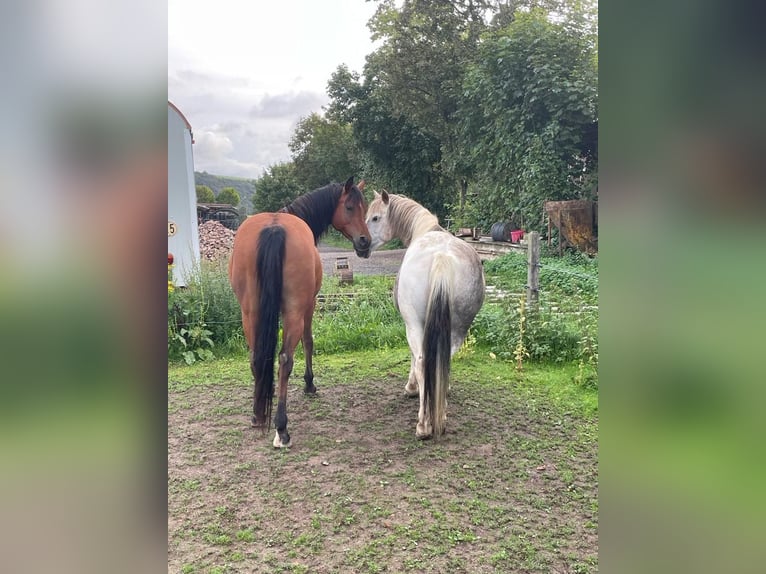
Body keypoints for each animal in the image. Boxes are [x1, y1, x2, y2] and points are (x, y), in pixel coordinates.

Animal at [230, 178, 370, 448]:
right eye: (349, 207)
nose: (365, 242)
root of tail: (275, 229)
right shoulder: (310, 305)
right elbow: (308, 341)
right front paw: (309, 383)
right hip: (294, 312)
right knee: (285, 359)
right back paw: (281, 428)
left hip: (249, 312)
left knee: (256, 356)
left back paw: (257, 414)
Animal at [368, 194, 486, 440]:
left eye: (375, 217)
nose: (360, 244)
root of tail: (441, 257)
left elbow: (414, 359)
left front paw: (411, 389)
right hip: (458, 329)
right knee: (443, 360)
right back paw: (440, 415)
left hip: (414, 325)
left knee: (423, 362)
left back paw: (423, 425)